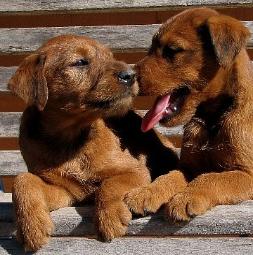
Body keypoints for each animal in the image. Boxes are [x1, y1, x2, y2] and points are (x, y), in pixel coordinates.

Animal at [8, 34, 177, 251]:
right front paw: (32, 227)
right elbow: (22, 180)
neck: (70, 139)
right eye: (80, 62)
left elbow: (110, 184)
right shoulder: (65, 191)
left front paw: (109, 218)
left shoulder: (136, 170)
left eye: (111, 57)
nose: (131, 75)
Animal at [125, 6, 253, 220]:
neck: (212, 120)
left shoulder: (247, 173)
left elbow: (211, 178)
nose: (128, 77)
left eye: (172, 51)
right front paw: (146, 193)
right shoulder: (188, 167)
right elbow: (169, 176)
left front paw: (187, 197)